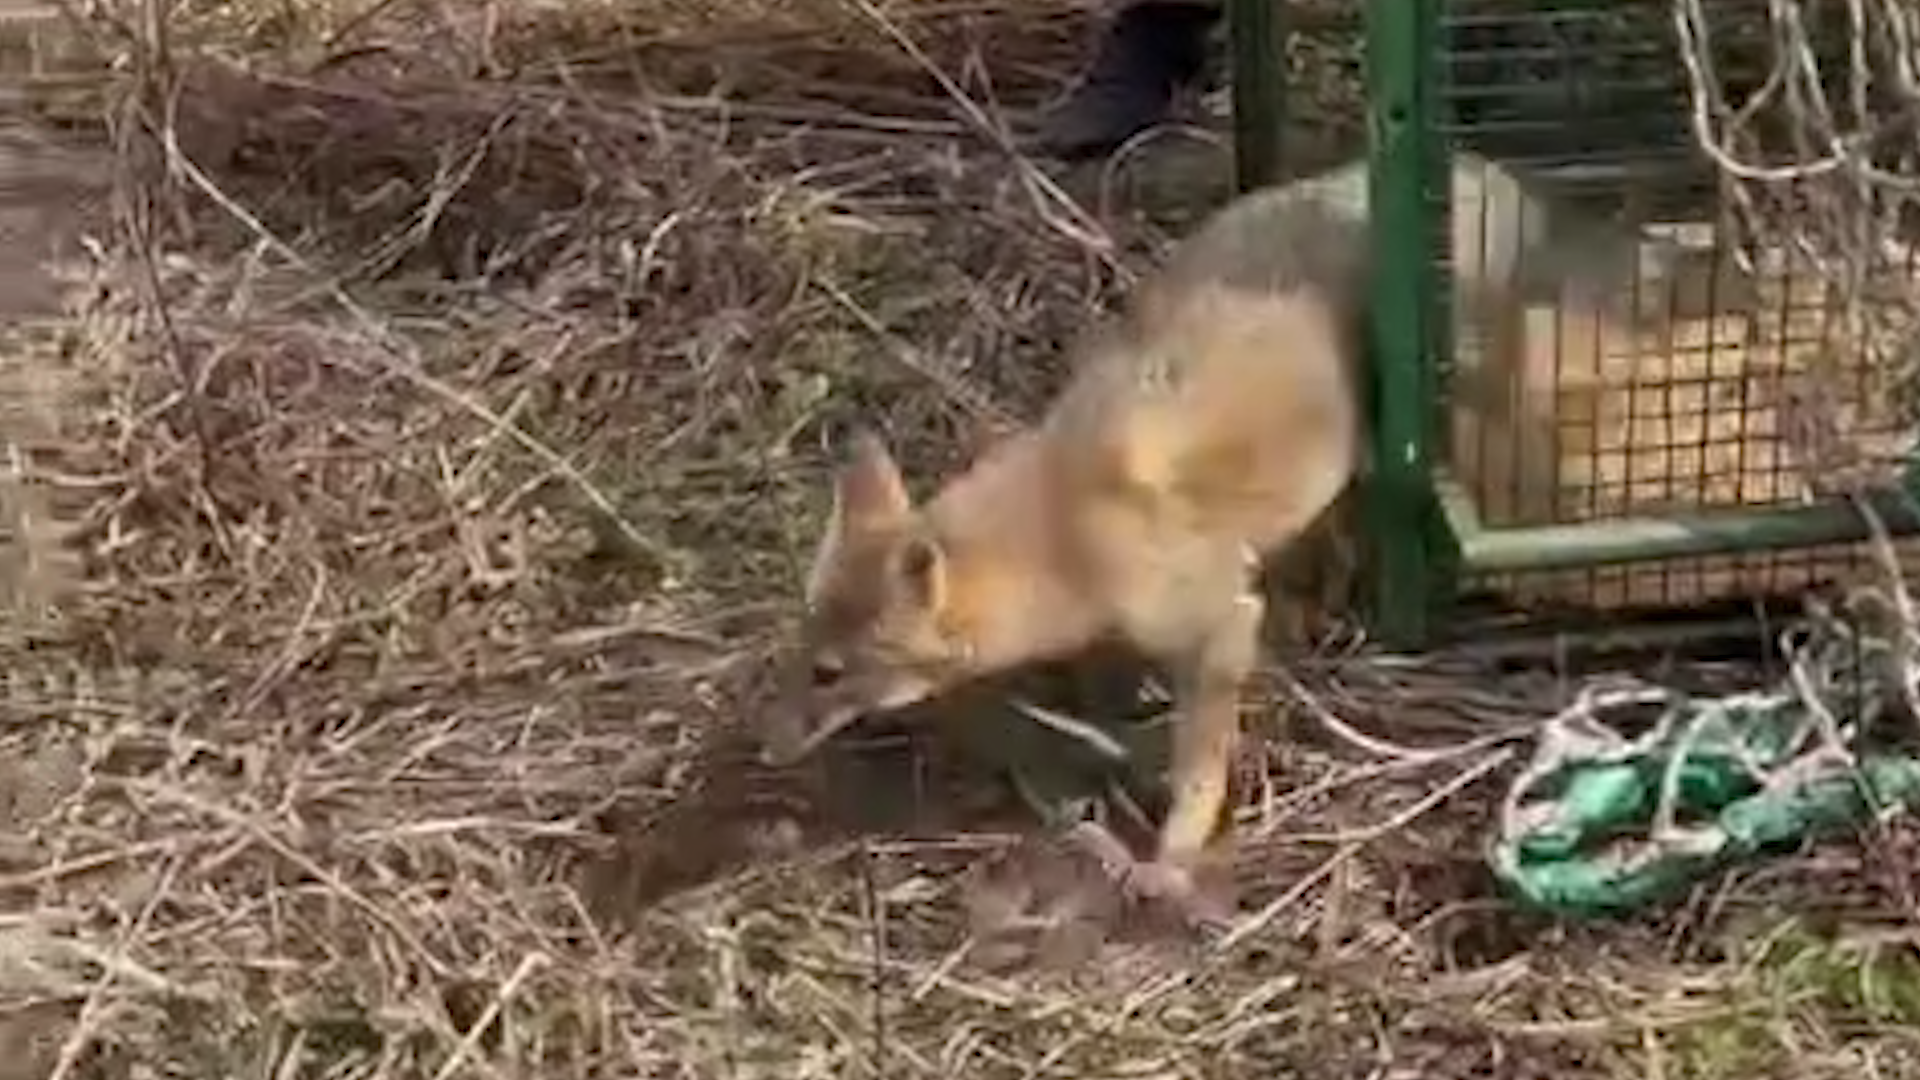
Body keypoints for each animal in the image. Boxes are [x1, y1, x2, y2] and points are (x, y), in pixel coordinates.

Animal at [762, 150, 1732, 918]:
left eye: (829, 673)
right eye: (799, 650)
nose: (765, 741)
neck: (1066, 516)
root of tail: (1481, 169)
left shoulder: (1218, 620)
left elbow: (1198, 764)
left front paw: (1171, 854)